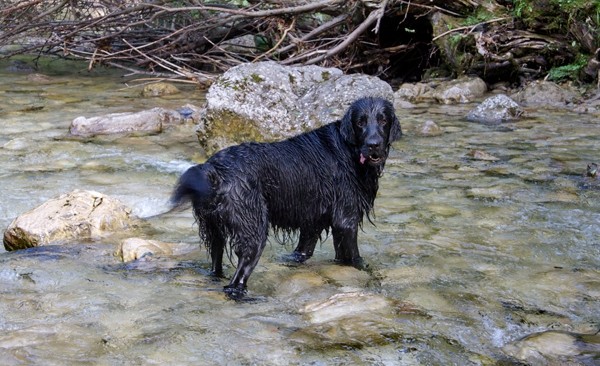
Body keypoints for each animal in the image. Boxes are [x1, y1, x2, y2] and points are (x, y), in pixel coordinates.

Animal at [171, 96, 400, 298]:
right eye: (360, 122)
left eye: (383, 120)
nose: (373, 144)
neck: (348, 150)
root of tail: (212, 169)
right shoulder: (346, 220)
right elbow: (354, 258)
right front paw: (367, 271)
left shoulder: (313, 220)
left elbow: (304, 251)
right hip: (253, 229)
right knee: (238, 280)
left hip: (214, 229)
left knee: (216, 260)